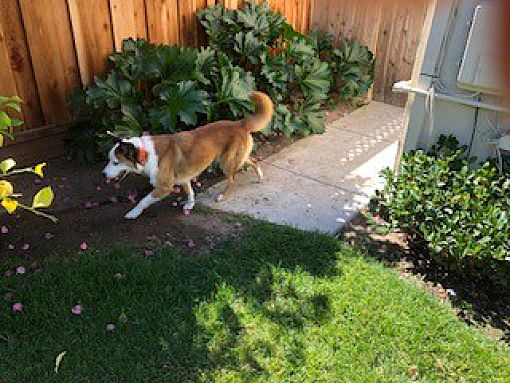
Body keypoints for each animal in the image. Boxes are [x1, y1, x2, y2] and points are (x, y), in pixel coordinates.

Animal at [101, 91, 272, 220]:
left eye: (115, 162)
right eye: (109, 160)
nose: (102, 174)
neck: (146, 153)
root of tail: (239, 123)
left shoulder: (164, 187)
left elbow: (144, 200)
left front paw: (133, 213)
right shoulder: (184, 177)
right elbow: (189, 191)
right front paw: (190, 204)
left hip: (227, 162)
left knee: (232, 180)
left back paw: (223, 195)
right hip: (235, 157)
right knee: (254, 160)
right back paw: (260, 177)